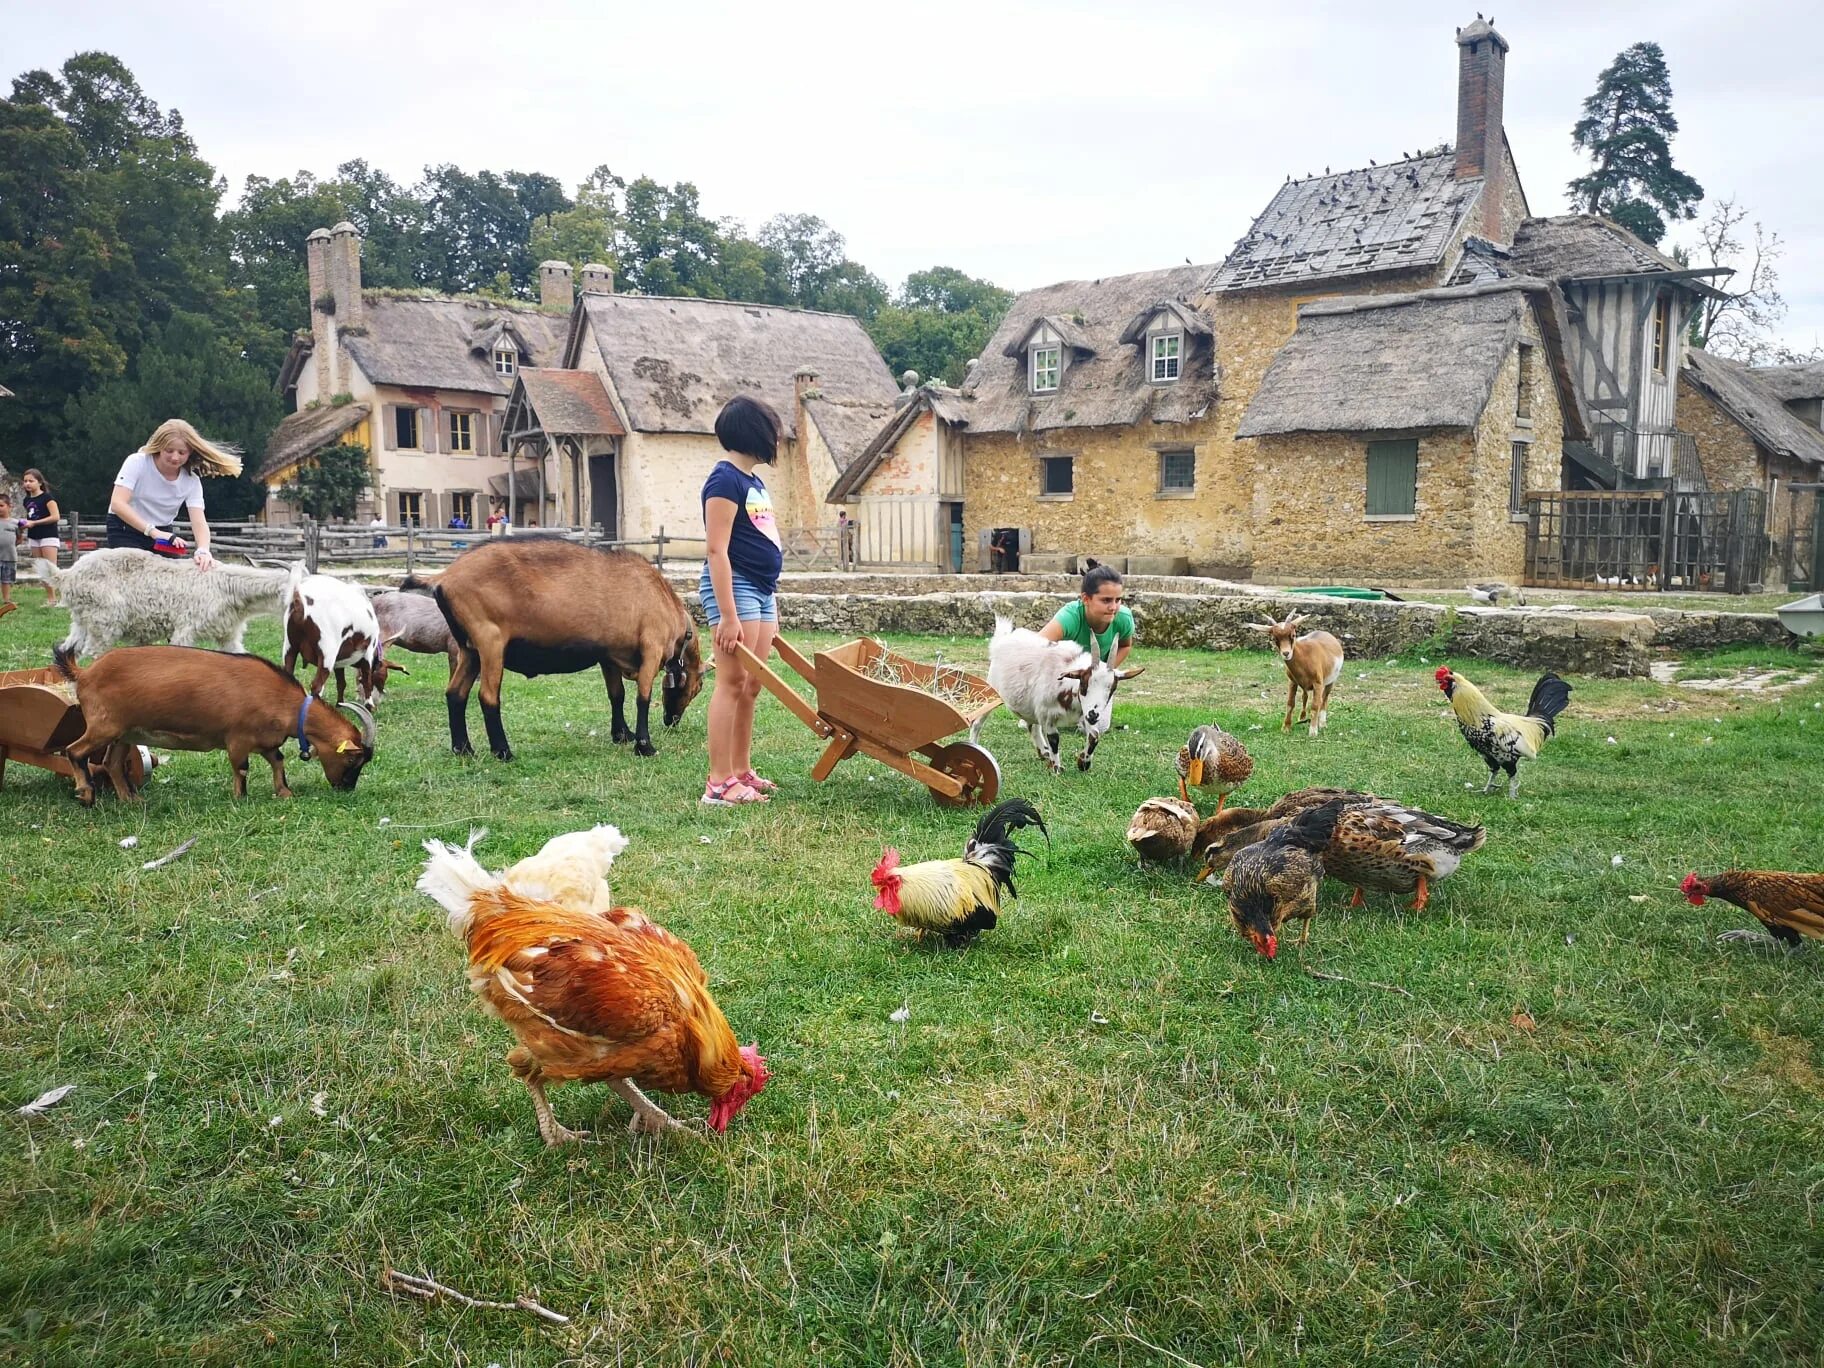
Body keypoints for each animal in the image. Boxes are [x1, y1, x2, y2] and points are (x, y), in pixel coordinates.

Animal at [33, 547, 291, 660]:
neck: (226, 586)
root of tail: (66, 575)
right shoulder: (186, 628)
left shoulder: (228, 635)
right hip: (104, 622)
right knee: (92, 654)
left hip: (81, 621)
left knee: (68, 650)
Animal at [54, 645, 373, 802]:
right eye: (353, 760)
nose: (346, 788)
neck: (287, 704)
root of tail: (84, 673)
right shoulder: (238, 739)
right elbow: (241, 768)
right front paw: (240, 798)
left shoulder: (266, 742)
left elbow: (278, 761)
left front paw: (284, 793)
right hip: (103, 727)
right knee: (74, 751)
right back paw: (86, 793)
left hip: (125, 733)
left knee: (112, 763)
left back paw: (131, 800)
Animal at [406, 543, 704, 762]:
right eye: (698, 687)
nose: (671, 721)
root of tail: (443, 577)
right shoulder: (651, 648)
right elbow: (642, 698)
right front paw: (644, 745)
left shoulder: (608, 656)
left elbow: (616, 695)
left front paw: (622, 735)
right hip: (490, 642)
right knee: (488, 696)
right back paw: (503, 751)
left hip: (470, 650)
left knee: (455, 693)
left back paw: (463, 749)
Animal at [977, 620, 1145, 777]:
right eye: (1084, 683)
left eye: (1112, 688)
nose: (1093, 715)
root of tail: (1002, 640)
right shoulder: (1048, 715)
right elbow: (1054, 739)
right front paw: (1057, 768)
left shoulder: (1083, 712)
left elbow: (1094, 736)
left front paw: (1083, 762)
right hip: (992, 691)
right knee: (978, 722)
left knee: (1032, 725)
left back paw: (1044, 752)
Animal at [1247, 612, 1349, 740]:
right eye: (1274, 638)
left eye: (1293, 635)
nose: (1286, 653)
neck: (1305, 656)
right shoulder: (1292, 682)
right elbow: (1290, 703)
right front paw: (1286, 728)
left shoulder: (1318, 683)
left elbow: (1315, 705)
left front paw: (1313, 731)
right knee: (1305, 696)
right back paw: (1302, 718)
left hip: (1331, 681)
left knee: (1324, 699)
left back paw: (1322, 723)